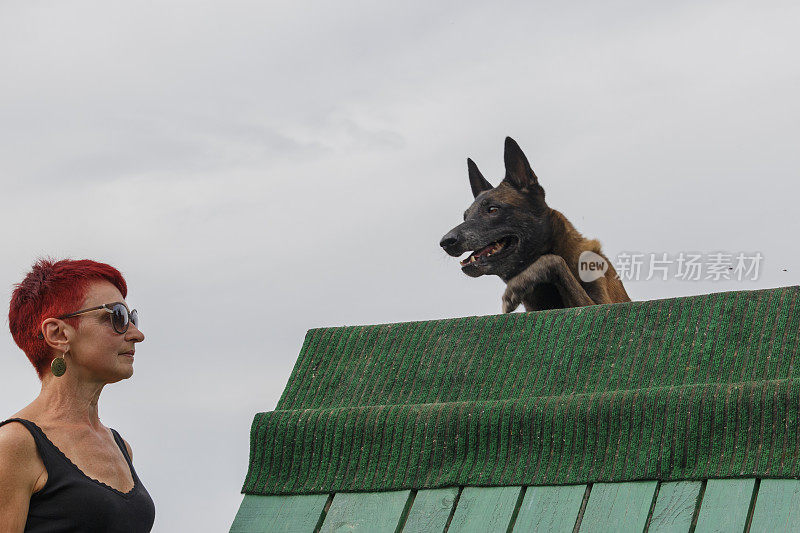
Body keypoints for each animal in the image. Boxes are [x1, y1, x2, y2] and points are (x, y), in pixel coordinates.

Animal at [438, 136, 632, 312]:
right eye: (465, 216)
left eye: (492, 209)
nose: (446, 242)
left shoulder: (600, 305)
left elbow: (551, 259)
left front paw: (517, 286)